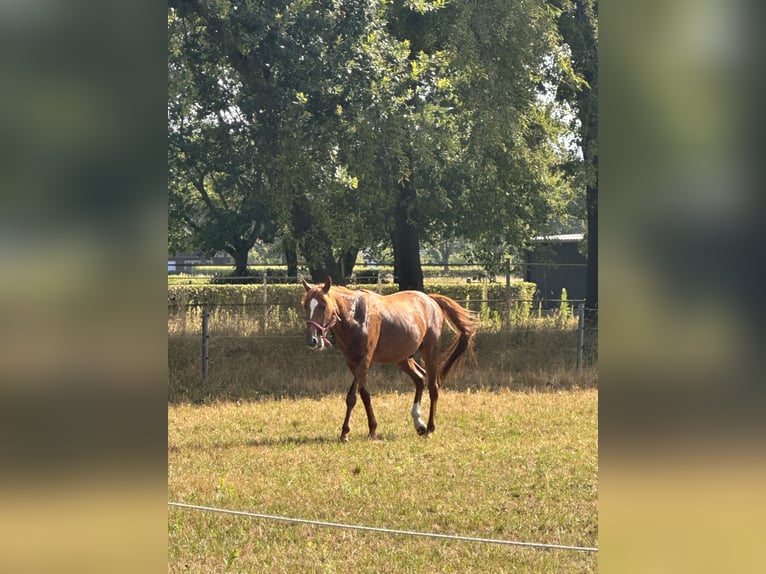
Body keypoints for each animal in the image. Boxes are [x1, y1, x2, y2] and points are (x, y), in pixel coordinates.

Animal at [301, 277, 478, 442]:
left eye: (323, 305)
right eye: (305, 306)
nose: (312, 340)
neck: (355, 317)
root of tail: (431, 300)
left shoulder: (364, 360)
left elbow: (352, 397)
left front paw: (345, 433)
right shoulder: (352, 363)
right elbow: (365, 395)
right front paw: (372, 430)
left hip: (430, 353)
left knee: (434, 387)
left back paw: (430, 428)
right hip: (402, 358)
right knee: (420, 378)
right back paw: (419, 423)